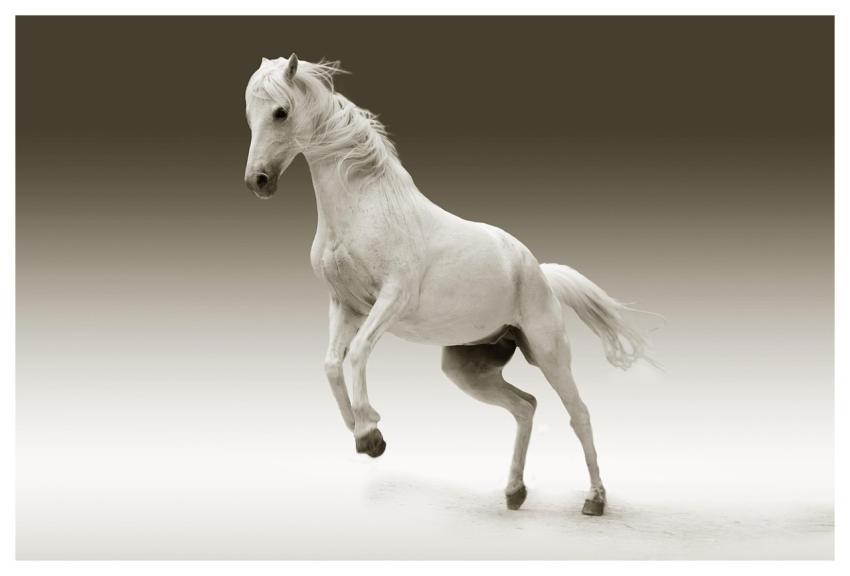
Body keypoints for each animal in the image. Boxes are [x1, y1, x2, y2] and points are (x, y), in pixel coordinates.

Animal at [243, 54, 656, 516]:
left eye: (280, 112)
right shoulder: (344, 305)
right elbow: (332, 364)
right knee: (525, 406)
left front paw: (370, 433)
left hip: (549, 353)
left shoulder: (391, 299)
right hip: (467, 368)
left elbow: (358, 354)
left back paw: (595, 500)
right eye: (250, 114)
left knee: (579, 413)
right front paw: (363, 431)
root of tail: (539, 272)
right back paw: (514, 492)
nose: (258, 181)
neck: (365, 208)